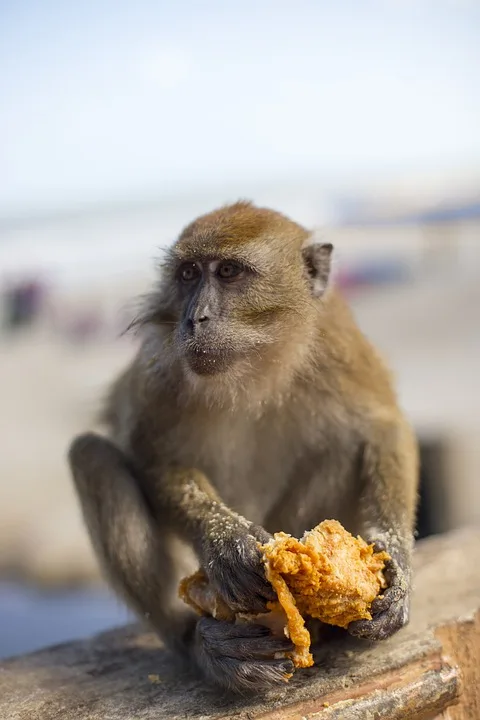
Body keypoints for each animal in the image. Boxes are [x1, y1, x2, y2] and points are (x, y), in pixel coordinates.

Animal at [68, 200, 420, 696]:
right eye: (188, 274)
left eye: (229, 272)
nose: (194, 319)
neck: (252, 366)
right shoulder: (161, 367)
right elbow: (151, 457)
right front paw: (225, 541)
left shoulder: (336, 342)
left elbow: (382, 428)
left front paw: (398, 564)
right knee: (91, 457)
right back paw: (199, 643)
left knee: (342, 447)